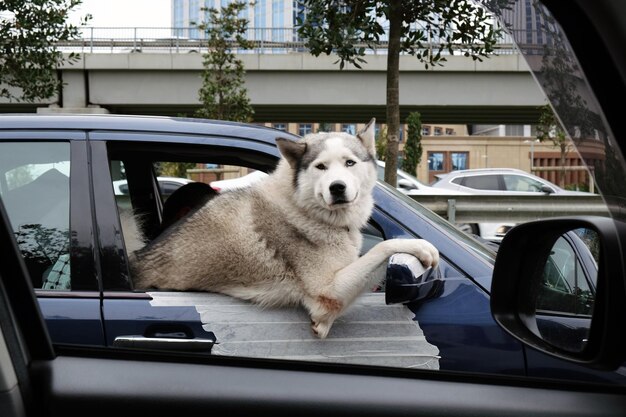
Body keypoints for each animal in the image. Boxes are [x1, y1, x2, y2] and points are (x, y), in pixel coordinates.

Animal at [130, 119, 436, 338]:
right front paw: (422, 247)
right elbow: (384, 247)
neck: (304, 209)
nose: (337, 187)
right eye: (321, 167)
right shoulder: (327, 291)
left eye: (350, 162)